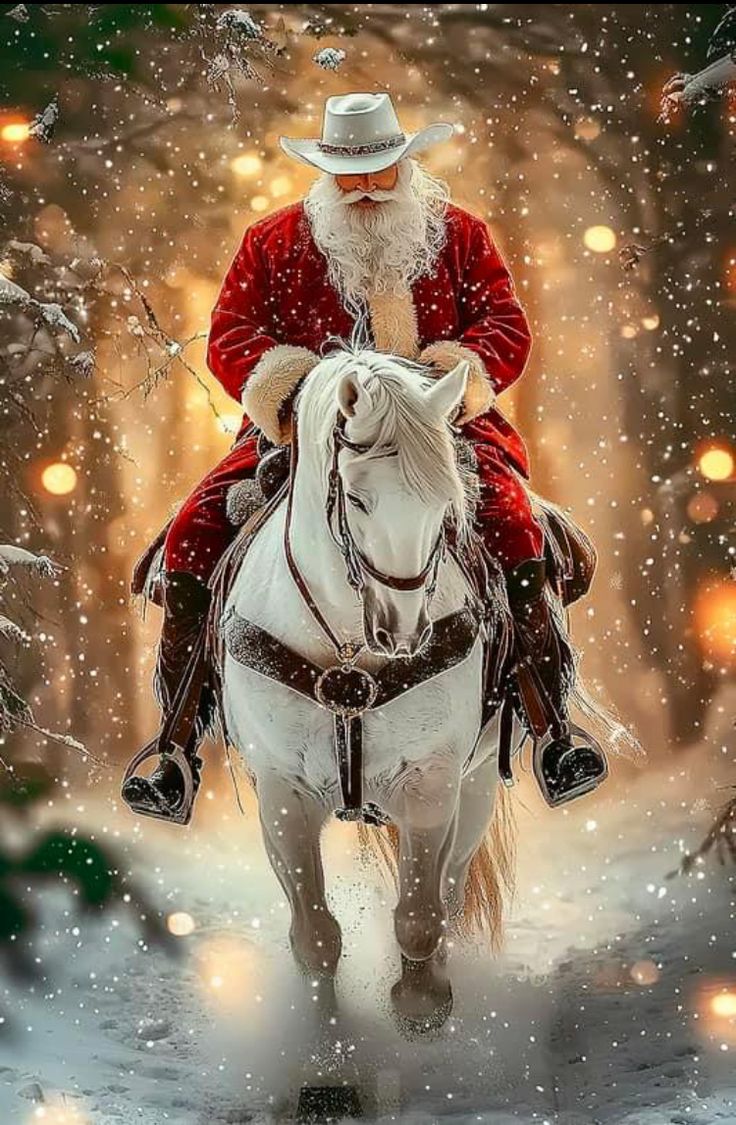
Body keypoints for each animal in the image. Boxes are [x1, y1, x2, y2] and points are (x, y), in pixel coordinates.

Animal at [221, 348, 515, 1030]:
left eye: (446, 500)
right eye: (356, 498)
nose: (402, 630)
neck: (350, 649)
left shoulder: (432, 781)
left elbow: (421, 917)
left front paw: (422, 1008)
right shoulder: (283, 793)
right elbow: (314, 936)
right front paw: (326, 1040)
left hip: (478, 786)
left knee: (450, 891)